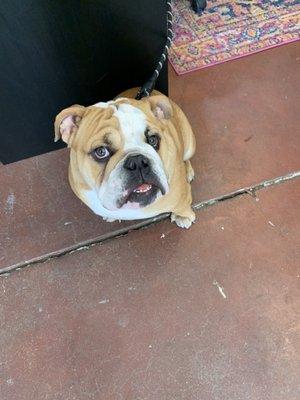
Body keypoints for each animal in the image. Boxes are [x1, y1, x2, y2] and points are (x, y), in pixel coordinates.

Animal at [54, 89, 196, 230]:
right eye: (101, 152)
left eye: (153, 139)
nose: (138, 161)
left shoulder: (182, 197)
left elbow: (183, 207)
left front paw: (182, 216)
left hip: (189, 145)